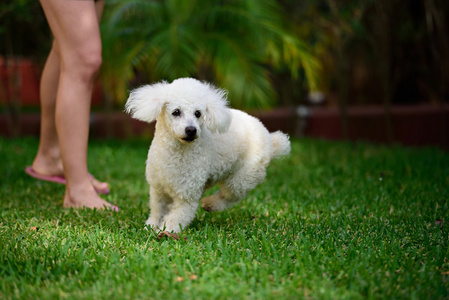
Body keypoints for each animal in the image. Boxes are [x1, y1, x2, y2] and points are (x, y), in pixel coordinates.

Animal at [125, 77, 290, 232]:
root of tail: (270, 139)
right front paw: (150, 227)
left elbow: (177, 216)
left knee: (230, 196)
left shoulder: (187, 195)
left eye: (198, 113)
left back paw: (210, 204)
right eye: (176, 112)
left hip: (243, 177)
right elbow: (157, 210)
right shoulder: (158, 189)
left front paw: (167, 231)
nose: (191, 130)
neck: (176, 153)